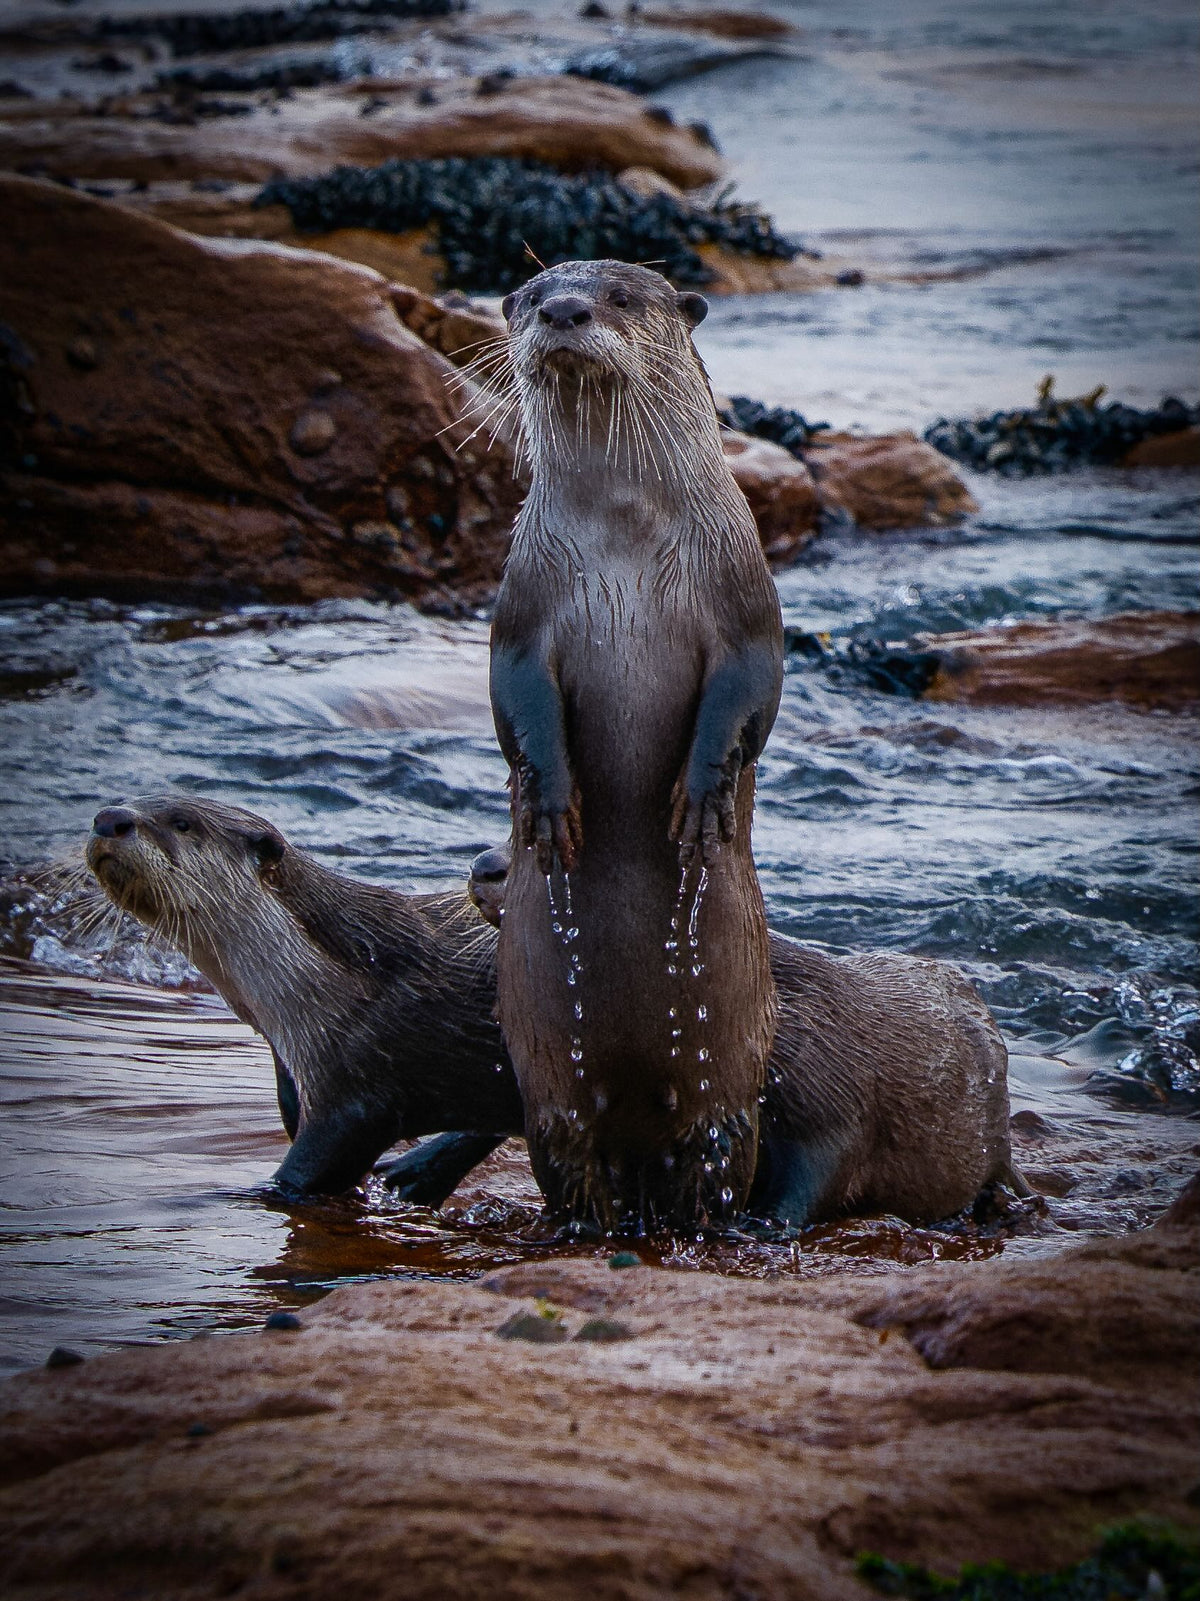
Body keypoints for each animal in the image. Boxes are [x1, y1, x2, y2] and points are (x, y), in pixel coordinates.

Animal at [85, 798, 1022, 1222]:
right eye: (150, 804)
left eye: (180, 822)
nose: (111, 815)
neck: (302, 990)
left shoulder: (359, 1080)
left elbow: (319, 1159)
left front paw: (257, 1192)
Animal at [486, 259, 784, 1231]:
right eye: (532, 293)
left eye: (620, 296)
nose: (564, 311)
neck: (622, 540)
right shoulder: (521, 606)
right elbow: (517, 700)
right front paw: (550, 807)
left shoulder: (745, 600)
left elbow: (748, 692)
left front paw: (701, 801)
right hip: (548, 1076)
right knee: (571, 1154)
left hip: (730, 1073)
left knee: (718, 1149)